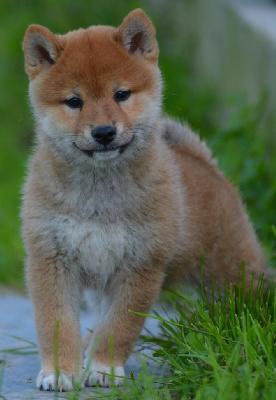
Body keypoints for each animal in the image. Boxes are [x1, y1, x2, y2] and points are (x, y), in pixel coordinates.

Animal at [22, 8, 268, 390]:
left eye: (121, 94)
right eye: (74, 102)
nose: (104, 132)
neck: (99, 198)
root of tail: (205, 164)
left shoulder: (141, 265)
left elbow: (119, 326)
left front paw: (104, 368)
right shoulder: (51, 259)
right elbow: (57, 324)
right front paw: (61, 371)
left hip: (232, 272)